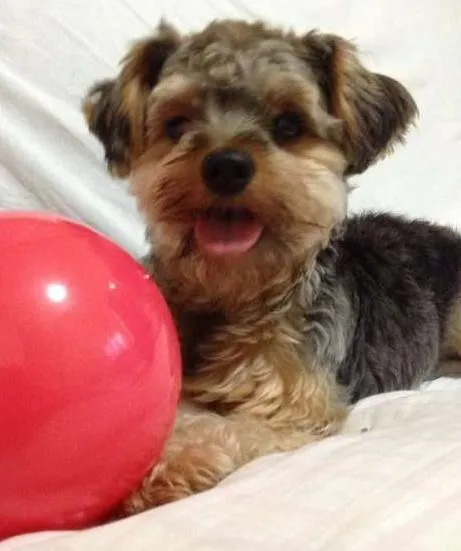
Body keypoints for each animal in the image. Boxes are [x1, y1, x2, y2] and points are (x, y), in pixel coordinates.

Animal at [82, 19, 461, 513]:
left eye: (289, 125)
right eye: (176, 124)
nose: (226, 165)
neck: (234, 292)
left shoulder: (294, 411)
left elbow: (230, 428)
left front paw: (169, 463)